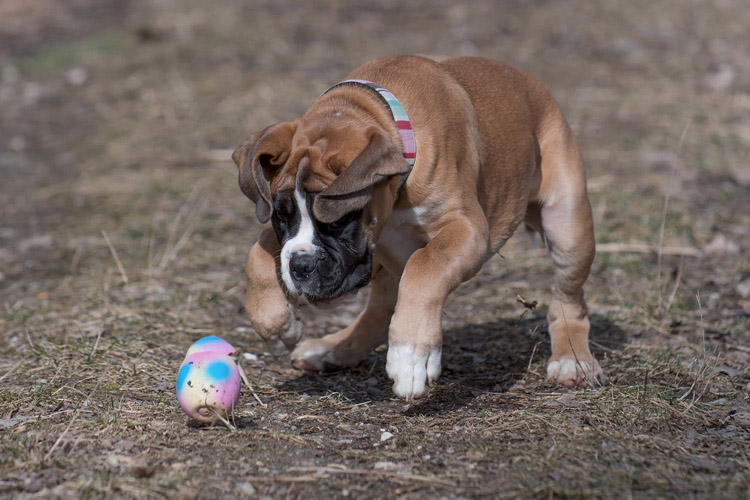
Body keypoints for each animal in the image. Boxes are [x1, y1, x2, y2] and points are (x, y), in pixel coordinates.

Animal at [234, 54, 604, 400]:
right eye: (281, 217)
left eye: (338, 221)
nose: (300, 266)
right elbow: (256, 254)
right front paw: (276, 326)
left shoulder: (467, 228)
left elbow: (426, 267)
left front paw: (411, 356)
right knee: (382, 307)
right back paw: (334, 347)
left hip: (567, 226)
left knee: (569, 299)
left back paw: (572, 360)